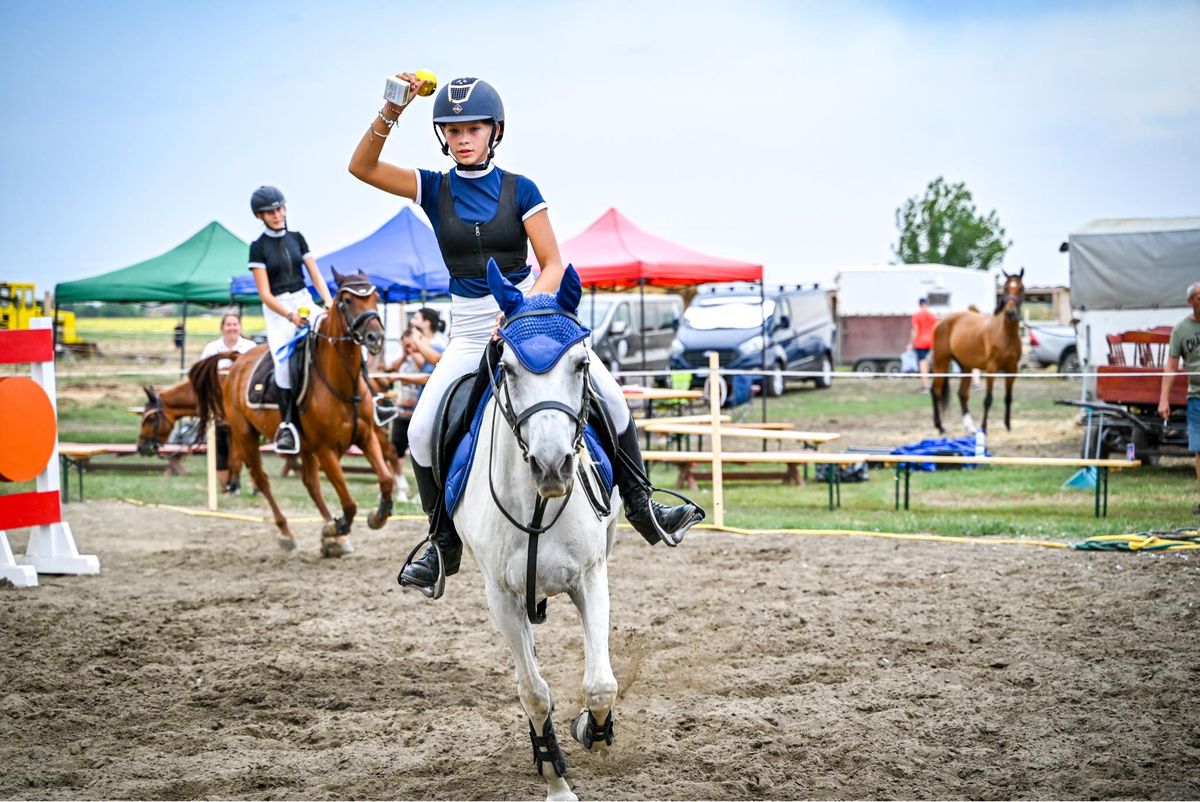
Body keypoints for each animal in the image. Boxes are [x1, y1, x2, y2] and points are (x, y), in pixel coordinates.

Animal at [926, 267, 1022, 432]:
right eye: (1005, 288)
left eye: (1021, 288)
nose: (1010, 312)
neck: (1005, 334)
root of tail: (941, 322)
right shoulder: (992, 368)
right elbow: (988, 399)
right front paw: (984, 427)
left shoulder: (1012, 369)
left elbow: (1008, 397)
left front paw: (1008, 425)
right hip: (941, 362)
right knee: (936, 391)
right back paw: (940, 426)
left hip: (966, 366)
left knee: (962, 394)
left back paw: (969, 427)